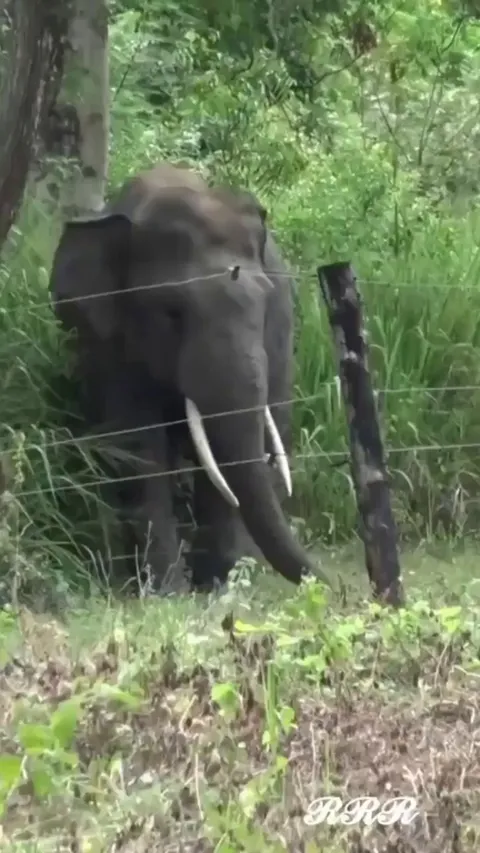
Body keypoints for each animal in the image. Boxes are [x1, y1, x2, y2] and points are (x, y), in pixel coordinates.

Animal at [49, 162, 324, 593]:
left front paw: (216, 586)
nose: (329, 585)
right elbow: (140, 446)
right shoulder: (109, 343)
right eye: (171, 312)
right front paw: (166, 592)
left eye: (264, 303)